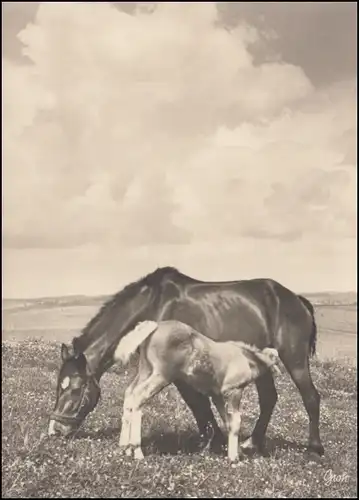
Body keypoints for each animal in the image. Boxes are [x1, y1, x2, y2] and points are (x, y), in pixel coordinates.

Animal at [114, 320, 282, 460]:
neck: (245, 358)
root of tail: (155, 326)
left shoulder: (217, 395)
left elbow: (227, 421)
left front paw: (237, 452)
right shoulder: (234, 391)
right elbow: (235, 422)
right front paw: (234, 458)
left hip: (145, 370)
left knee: (129, 394)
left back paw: (125, 448)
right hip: (162, 375)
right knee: (138, 397)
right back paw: (137, 451)